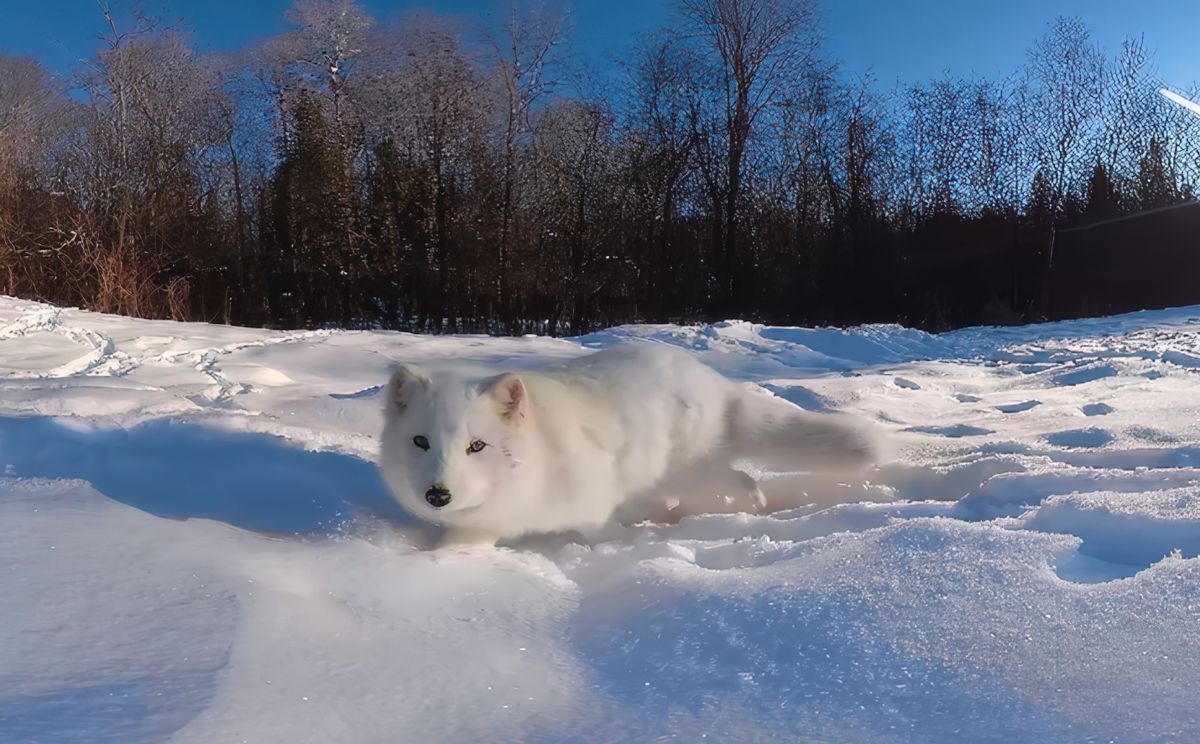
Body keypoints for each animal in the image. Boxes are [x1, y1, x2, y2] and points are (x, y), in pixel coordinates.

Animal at [377, 343, 881, 547]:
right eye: (420, 441)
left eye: (477, 446)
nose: (437, 495)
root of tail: (714, 382)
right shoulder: (487, 524)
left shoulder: (591, 508)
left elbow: (602, 534)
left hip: (692, 471)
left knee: (741, 478)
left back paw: (749, 505)